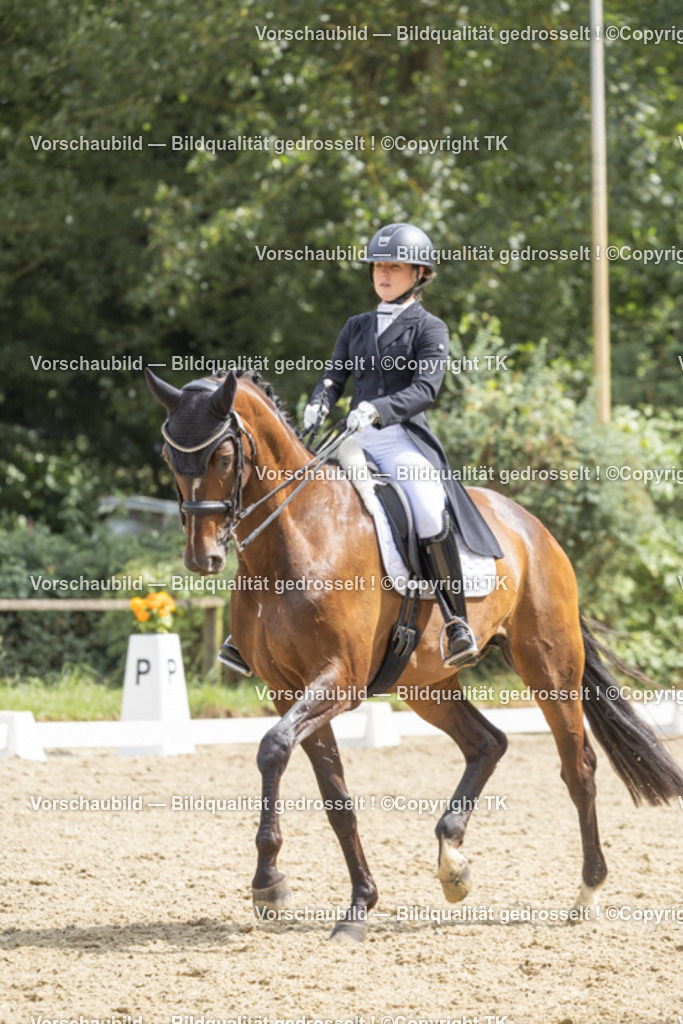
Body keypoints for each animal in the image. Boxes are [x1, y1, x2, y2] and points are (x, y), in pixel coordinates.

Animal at [145, 366, 683, 942]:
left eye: (224, 457)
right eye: (169, 456)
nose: (203, 558)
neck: (295, 538)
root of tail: (533, 527)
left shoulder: (339, 681)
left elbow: (272, 748)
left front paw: (270, 884)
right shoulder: (287, 690)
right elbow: (334, 798)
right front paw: (356, 905)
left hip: (548, 666)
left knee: (577, 766)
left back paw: (587, 893)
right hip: (425, 685)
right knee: (487, 743)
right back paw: (453, 863)